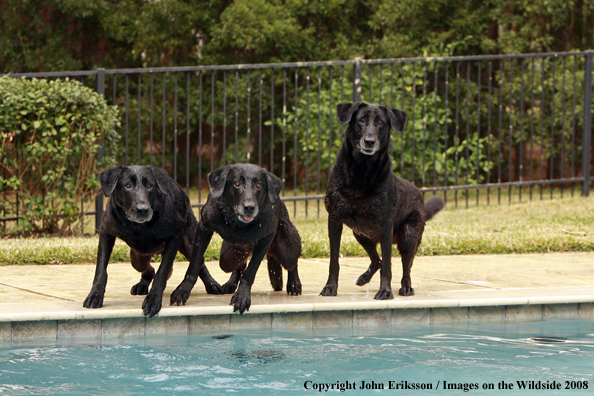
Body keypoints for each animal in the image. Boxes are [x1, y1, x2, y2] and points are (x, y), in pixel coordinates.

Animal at [82, 166, 222, 318]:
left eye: (150, 186)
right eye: (127, 186)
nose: (143, 209)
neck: (139, 226)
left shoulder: (175, 235)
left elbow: (162, 271)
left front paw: (153, 299)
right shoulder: (106, 232)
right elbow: (101, 270)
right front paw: (95, 295)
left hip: (190, 243)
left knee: (199, 263)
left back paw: (211, 284)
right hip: (137, 256)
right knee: (147, 268)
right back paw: (142, 285)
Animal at [170, 162, 300, 314]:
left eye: (259, 185)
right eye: (237, 183)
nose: (249, 207)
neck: (237, 223)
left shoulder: (267, 237)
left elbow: (250, 272)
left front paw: (242, 296)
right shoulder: (204, 227)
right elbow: (194, 264)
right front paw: (183, 290)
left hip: (285, 249)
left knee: (292, 262)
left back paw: (294, 283)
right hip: (227, 257)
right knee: (238, 265)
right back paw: (231, 283)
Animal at [322, 102, 442, 300]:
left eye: (380, 123)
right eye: (361, 120)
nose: (369, 141)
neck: (361, 170)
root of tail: (420, 197)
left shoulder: (385, 224)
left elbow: (388, 265)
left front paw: (385, 291)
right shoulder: (335, 220)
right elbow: (334, 260)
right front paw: (330, 287)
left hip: (409, 237)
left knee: (405, 268)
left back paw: (406, 287)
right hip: (361, 234)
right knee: (376, 260)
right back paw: (364, 277)